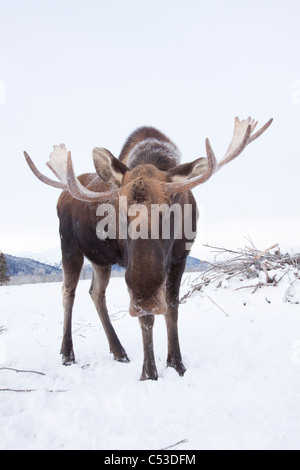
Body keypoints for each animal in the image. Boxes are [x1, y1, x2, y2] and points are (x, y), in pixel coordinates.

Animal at [24, 115, 272, 380]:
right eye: (118, 212)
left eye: (168, 210)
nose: (144, 298)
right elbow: (147, 320)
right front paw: (149, 372)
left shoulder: (180, 256)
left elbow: (172, 306)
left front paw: (176, 363)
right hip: (69, 244)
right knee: (68, 292)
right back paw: (67, 353)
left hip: (100, 259)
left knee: (96, 293)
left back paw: (118, 351)